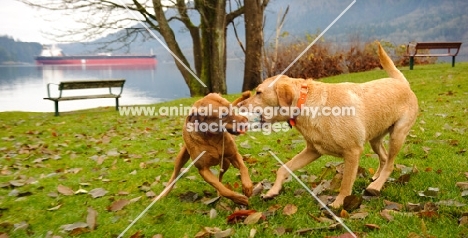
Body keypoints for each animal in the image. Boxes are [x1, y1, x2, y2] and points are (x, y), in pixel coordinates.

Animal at [238, 43, 416, 208]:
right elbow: (284, 168)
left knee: (390, 164)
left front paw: (339, 203)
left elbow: (345, 183)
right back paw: (377, 177)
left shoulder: (352, 152)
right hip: (375, 139)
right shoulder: (312, 150)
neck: (306, 102)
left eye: (258, 92)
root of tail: (402, 82)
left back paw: (376, 186)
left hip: (397, 135)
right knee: (384, 157)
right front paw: (272, 191)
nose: (239, 105)